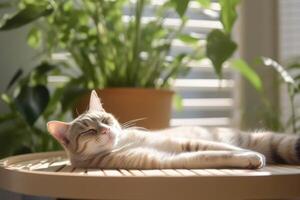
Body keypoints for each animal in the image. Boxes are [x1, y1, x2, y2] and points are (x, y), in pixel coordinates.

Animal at [46, 90, 300, 169]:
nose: (105, 130)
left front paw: (250, 154)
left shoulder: (184, 143)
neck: (125, 143)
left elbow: (222, 147)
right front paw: (250, 158)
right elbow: (213, 155)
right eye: (88, 131)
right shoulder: (167, 159)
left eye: (106, 120)